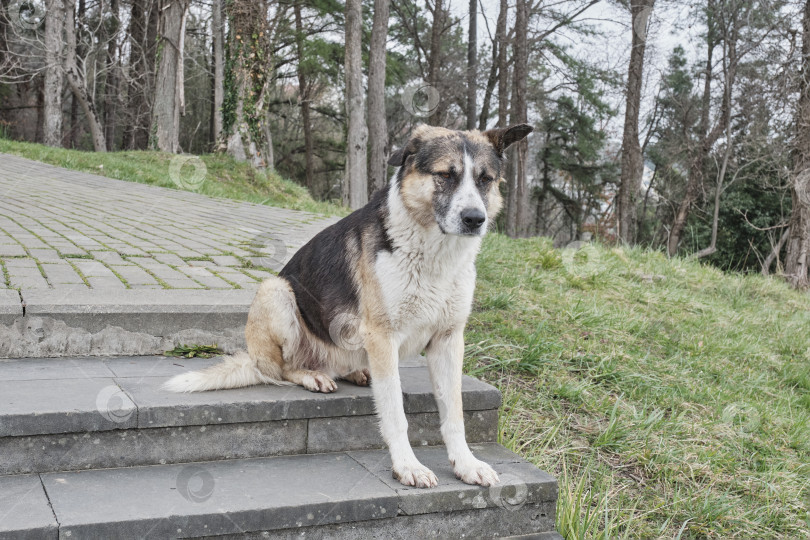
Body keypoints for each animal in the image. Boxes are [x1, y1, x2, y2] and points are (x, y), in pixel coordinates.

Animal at [163, 123, 532, 490]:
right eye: (445, 175)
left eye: (485, 179)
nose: (474, 219)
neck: (434, 254)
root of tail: (254, 358)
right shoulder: (383, 336)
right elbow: (395, 412)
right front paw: (406, 465)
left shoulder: (449, 340)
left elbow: (454, 413)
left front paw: (466, 464)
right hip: (276, 291)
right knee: (281, 370)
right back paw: (311, 375)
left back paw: (355, 371)